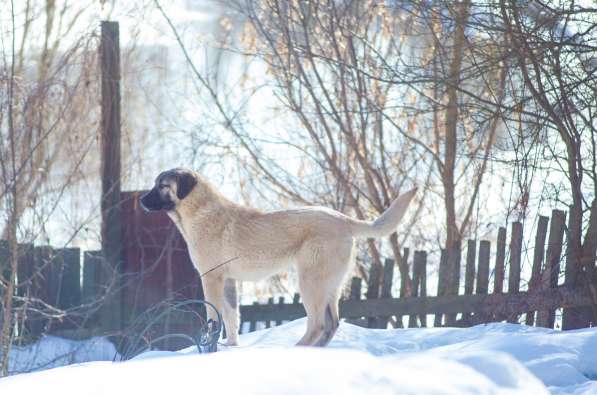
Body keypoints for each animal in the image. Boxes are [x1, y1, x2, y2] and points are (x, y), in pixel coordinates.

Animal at [141, 169, 416, 348]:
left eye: (162, 185)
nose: (141, 201)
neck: (198, 210)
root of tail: (343, 219)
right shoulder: (228, 281)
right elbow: (231, 316)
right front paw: (231, 345)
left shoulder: (212, 279)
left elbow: (214, 316)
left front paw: (210, 345)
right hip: (329, 285)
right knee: (332, 323)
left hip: (310, 282)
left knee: (317, 323)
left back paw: (297, 349)